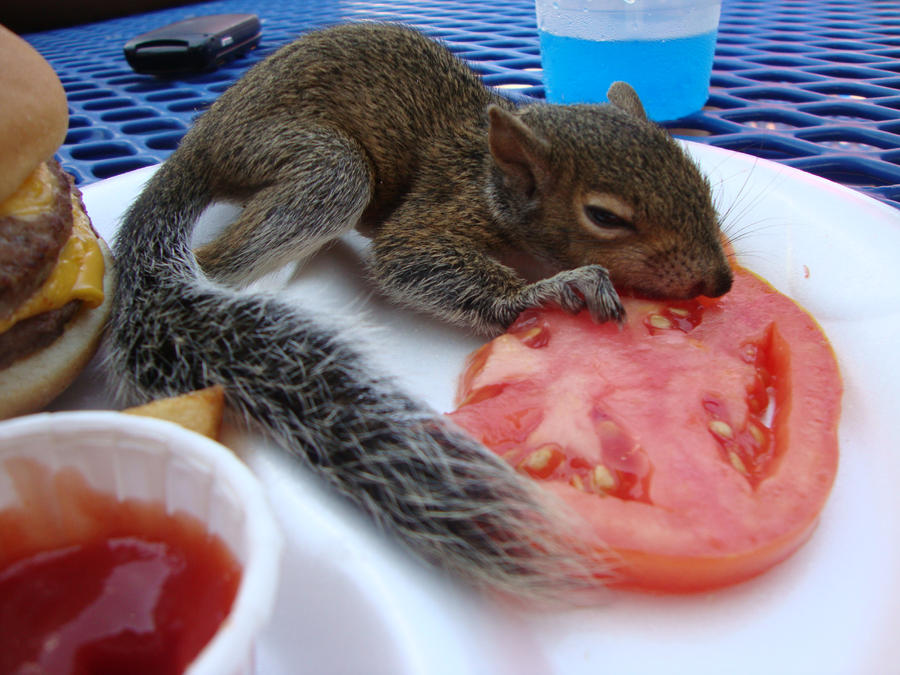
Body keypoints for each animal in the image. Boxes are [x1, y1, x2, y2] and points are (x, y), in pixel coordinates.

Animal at [103, 22, 732, 604]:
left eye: (699, 178)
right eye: (604, 216)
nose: (721, 281)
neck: (490, 175)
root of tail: (201, 138)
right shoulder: (441, 206)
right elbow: (406, 258)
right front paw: (551, 289)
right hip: (319, 167)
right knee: (223, 254)